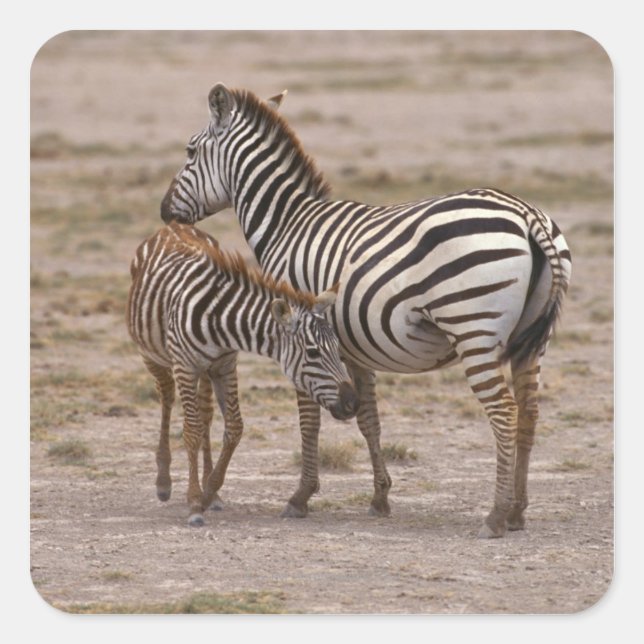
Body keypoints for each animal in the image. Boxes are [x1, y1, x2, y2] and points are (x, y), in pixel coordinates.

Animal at [126, 221, 359, 526]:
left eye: (337, 348)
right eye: (312, 353)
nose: (352, 403)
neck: (217, 318)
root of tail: (173, 226)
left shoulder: (225, 365)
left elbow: (234, 427)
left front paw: (209, 491)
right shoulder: (186, 367)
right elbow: (191, 430)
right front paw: (194, 502)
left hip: (207, 371)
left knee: (205, 415)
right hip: (152, 354)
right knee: (166, 396)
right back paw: (163, 481)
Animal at [160, 84, 572, 538]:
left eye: (190, 151)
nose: (164, 212)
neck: (288, 224)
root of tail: (527, 214)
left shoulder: (300, 335)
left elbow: (310, 419)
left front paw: (300, 497)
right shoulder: (353, 347)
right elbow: (368, 418)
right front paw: (380, 498)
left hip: (473, 330)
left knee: (504, 412)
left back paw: (496, 516)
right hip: (531, 340)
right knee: (529, 413)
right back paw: (517, 511)